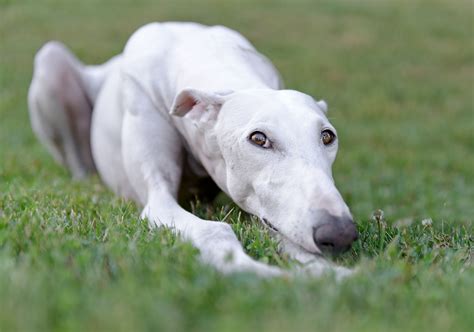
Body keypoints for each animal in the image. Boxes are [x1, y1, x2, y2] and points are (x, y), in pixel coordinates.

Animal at [27, 22, 358, 278]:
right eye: (259, 139)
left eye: (327, 137)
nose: (340, 233)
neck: (200, 50)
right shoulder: (157, 200)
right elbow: (216, 231)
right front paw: (262, 273)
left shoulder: (265, 208)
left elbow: (281, 232)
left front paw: (330, 274)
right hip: (51, 62)